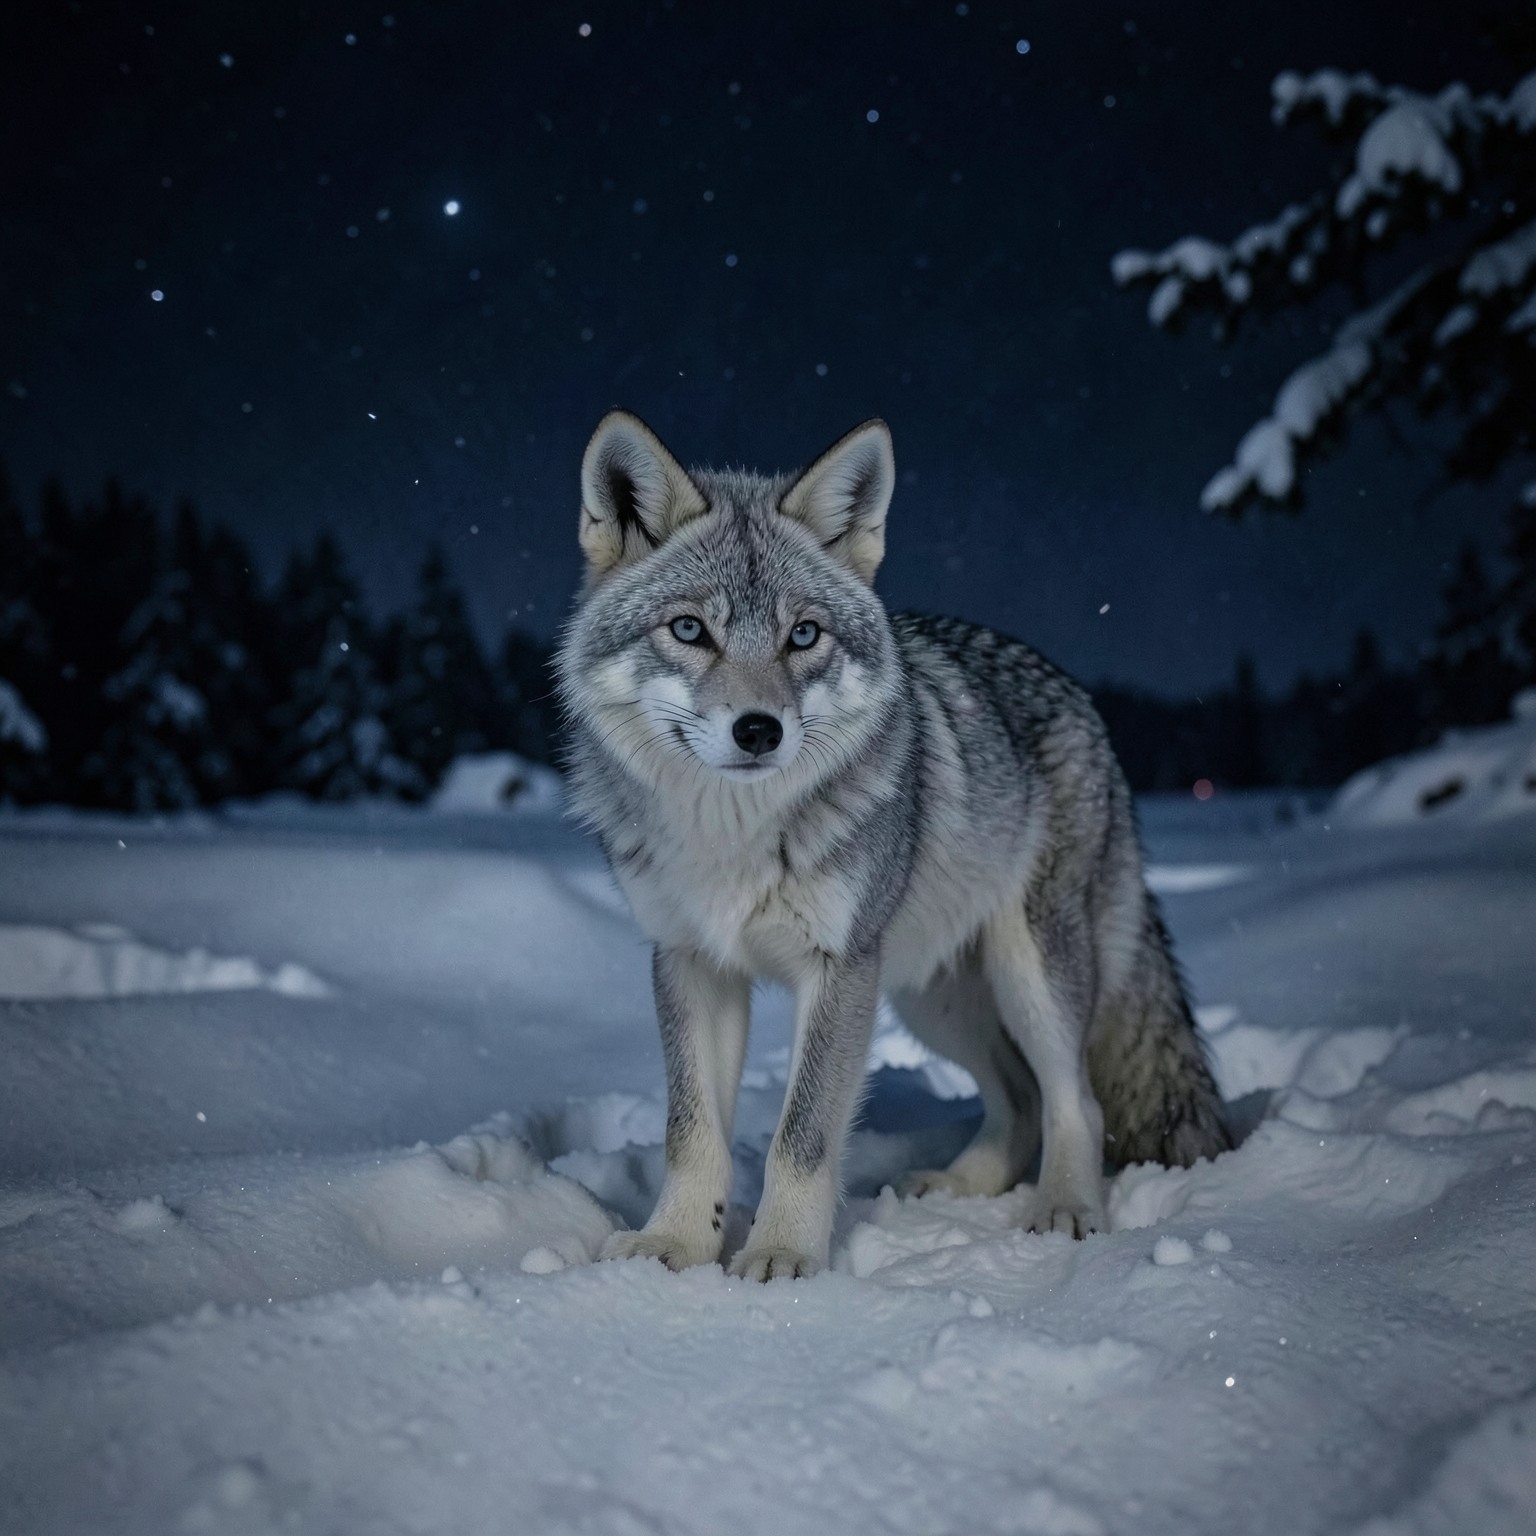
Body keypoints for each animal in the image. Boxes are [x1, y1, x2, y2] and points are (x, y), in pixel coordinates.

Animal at [554, 410, 1231, 1282]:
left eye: (803, 635)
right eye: (690, 630)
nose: (759, 730)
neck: (734, 834)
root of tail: (1081, 698)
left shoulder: (839, 970)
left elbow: (802, 1136)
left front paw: (779, 1255)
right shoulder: (691, 963)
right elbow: (692, 1131)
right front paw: (674, 1245)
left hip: (1025, 975)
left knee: (1074, 1098)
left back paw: (1064, 1210)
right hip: (929, 996)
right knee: (1019, 1100)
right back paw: (958, 1187)